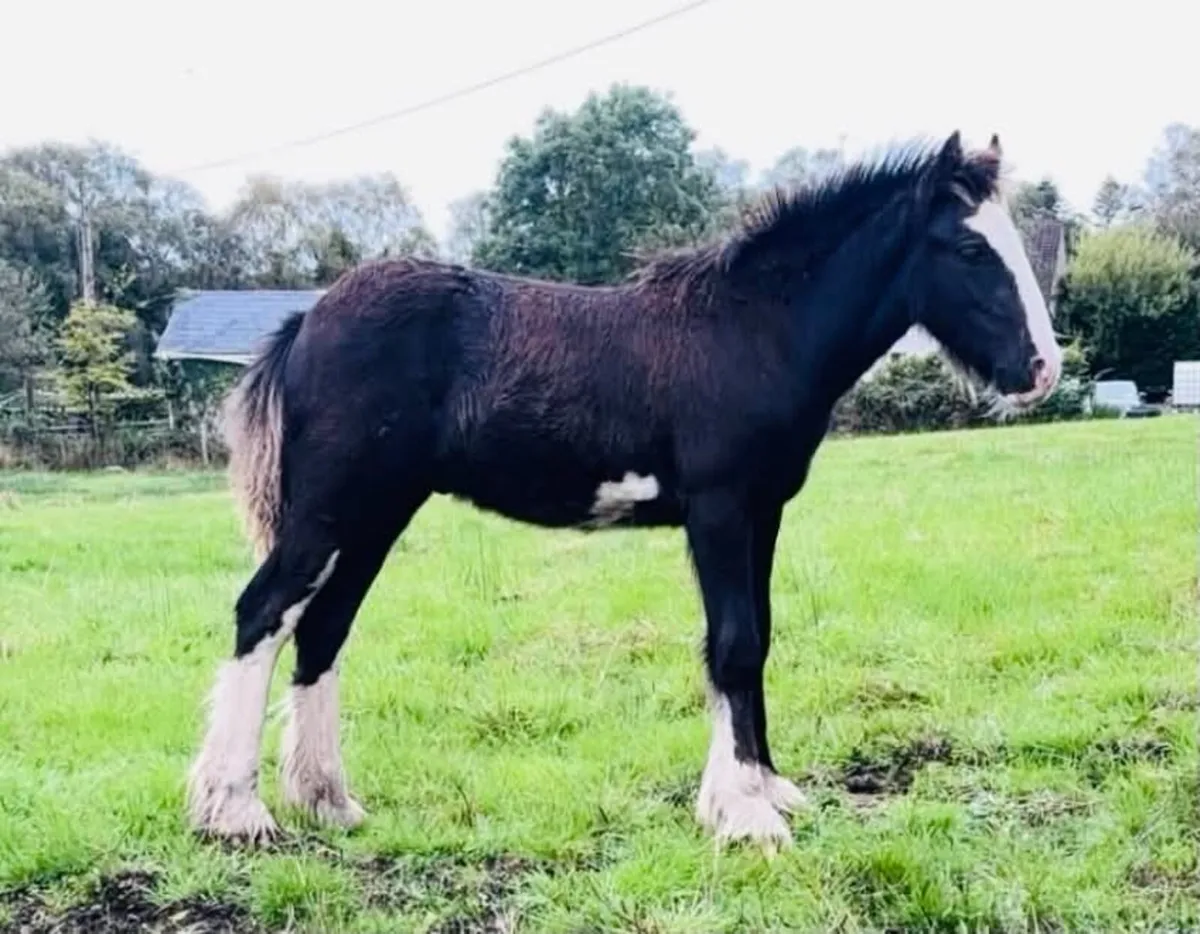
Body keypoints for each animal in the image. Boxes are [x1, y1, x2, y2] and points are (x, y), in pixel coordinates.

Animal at [186, 131, 1062, 848]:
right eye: (970, 248)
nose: (1044, 368)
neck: (753, 328)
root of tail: (305, 322)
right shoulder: (717, 509)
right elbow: (734, 643)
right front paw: (743, 816)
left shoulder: (764, 513)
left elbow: (758, 637)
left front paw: (766, 788)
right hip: (331, 511)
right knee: (263, 612)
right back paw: (236, 811)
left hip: (376, 515)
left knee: (321, 631)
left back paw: (326, 800)